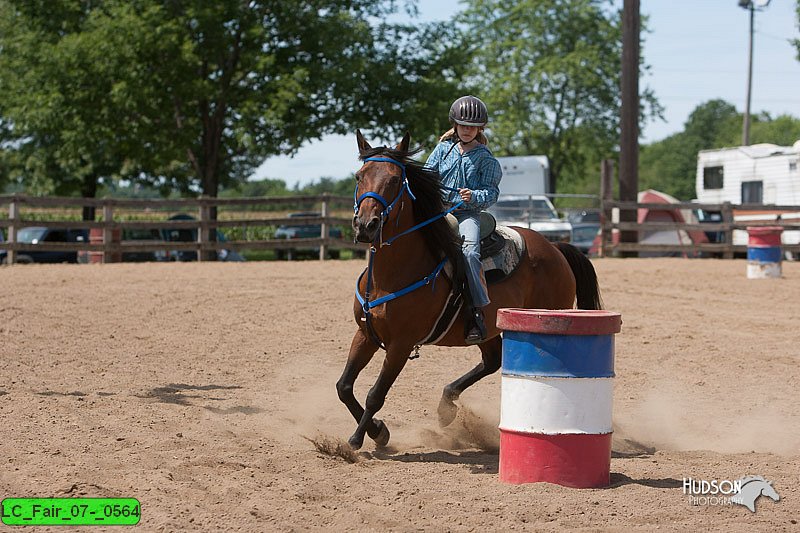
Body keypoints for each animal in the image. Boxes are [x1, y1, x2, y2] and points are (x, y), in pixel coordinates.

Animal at [336, 130, 600, 448]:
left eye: (396, 180)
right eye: (359, 176)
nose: (366, 225)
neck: (390, 276)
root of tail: (555, 248)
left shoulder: (400, 344)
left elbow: (375, 394)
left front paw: (362, 437)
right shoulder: (365, 333)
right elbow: (344, 386)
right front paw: (376, 430)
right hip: (487, 329)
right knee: (492, 361)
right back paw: (446, 407)